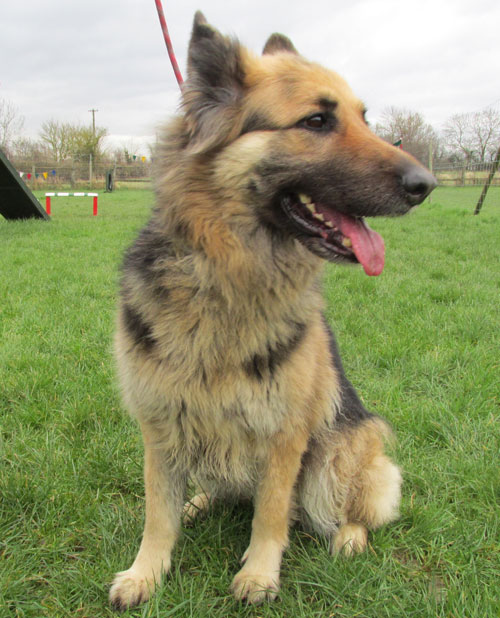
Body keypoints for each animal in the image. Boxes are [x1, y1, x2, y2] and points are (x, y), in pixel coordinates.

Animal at [107, 10, 436, 608]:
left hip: (339, 453)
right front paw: (146, 573)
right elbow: (158, 513)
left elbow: (271, 513)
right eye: (316, 121)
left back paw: (348, 538)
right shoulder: (161, 426)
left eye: (364, 119)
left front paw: (260, 575)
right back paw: (200, 503)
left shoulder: (285, 436)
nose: (427, 185)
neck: (227, 272)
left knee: (348, 509)